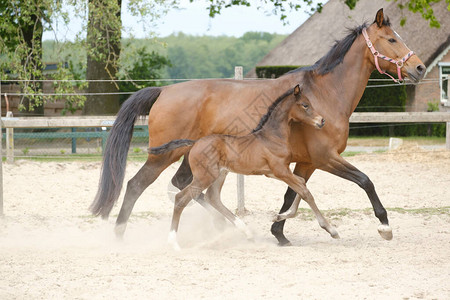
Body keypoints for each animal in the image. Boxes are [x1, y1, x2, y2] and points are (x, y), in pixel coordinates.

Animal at [90, 8, 426, 244]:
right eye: (392, 39)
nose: (420, 67)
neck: (326, 94)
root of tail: (163, 91)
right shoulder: (325, 157)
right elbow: (364, 181)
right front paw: (384, 226)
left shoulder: (304, 162)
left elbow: (293, 194)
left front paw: (279, 231)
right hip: (163, 155)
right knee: (137, 186)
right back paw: (120, 235)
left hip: (192, 157)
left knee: (186, 188)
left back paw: (228, 228)